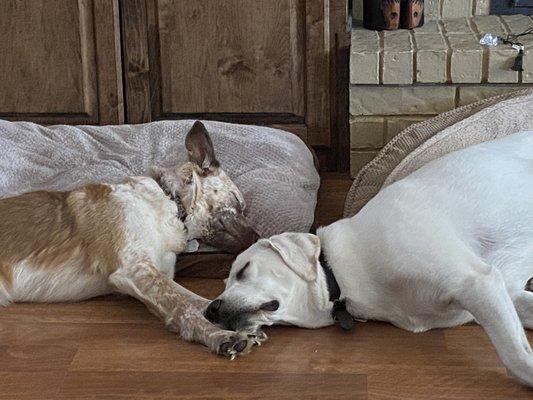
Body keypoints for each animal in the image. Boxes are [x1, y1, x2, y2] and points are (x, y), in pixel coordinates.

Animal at [0, 120, 264, 358]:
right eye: (239, 203)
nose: (260, 238)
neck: (170, 203)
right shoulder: (135, 270)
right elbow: (184, 307)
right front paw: (221, 336)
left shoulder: (156, 273)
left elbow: (200, 301)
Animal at [207, 130, 532, 384]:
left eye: (244, 269)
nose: (210, 310)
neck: (342, 270)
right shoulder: (506, 294)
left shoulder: (476, 282)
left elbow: (516, 358)